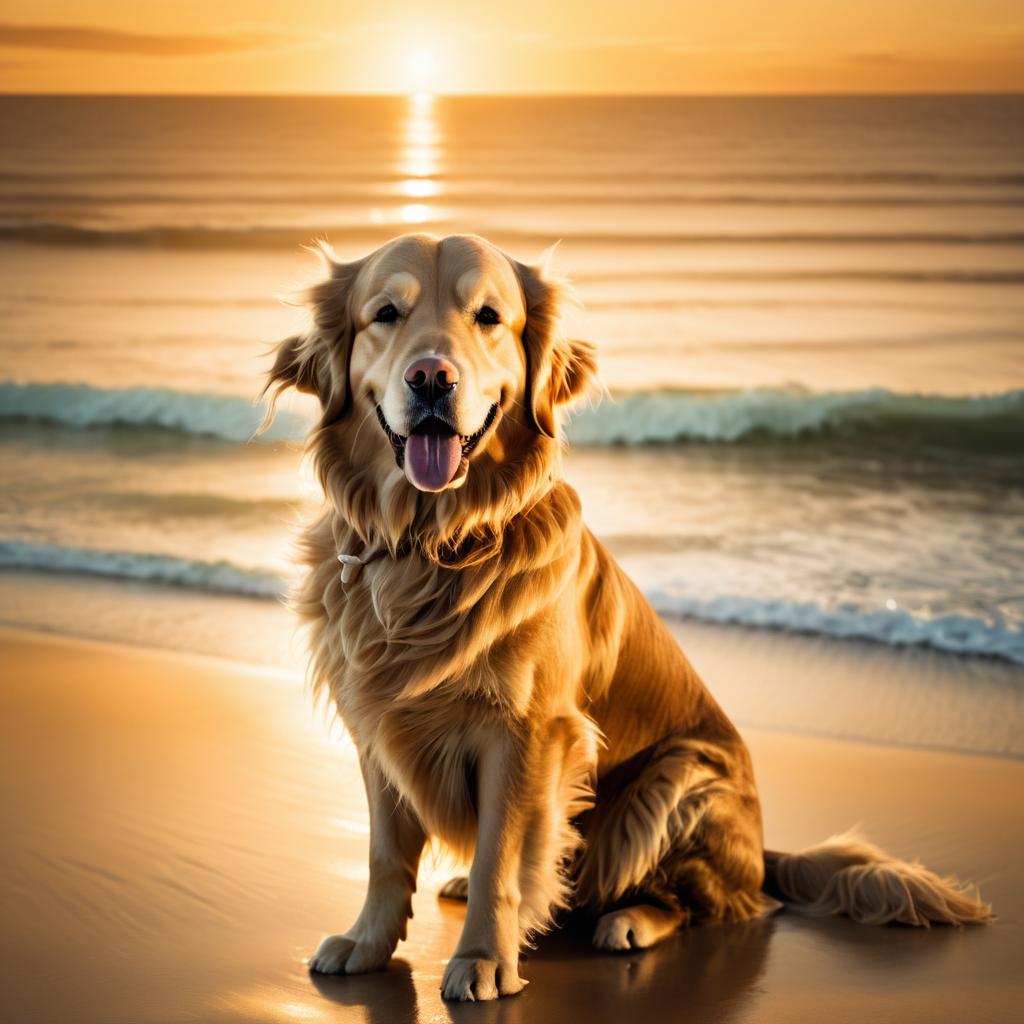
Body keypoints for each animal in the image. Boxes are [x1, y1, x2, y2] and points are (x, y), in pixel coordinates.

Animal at [264, 230, 991, 999]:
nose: (432, 377)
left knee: (719, 904)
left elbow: (501, 859)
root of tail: (764, 853)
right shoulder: (379, 723)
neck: (432, 543)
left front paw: (485, 958)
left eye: (488, 317)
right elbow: (384, 854)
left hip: (678, 776)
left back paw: (633, 920)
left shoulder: (529, 734)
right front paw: (368, 943)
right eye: (386, 314)